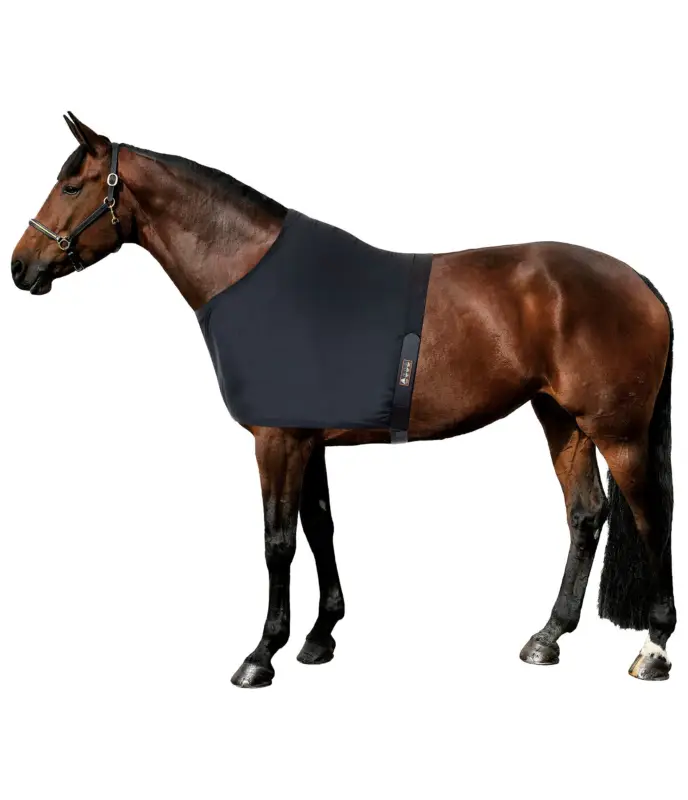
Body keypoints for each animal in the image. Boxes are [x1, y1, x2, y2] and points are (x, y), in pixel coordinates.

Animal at [11, 113, 675, 687]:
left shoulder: (277, 441)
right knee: (586, 516)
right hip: (562, 420)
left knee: (653, 515)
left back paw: (654, 647)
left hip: (617, 433)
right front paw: (319, 636)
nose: (21, 266)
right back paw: (547, 637)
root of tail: (640, 284)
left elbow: (278, 541)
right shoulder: (308, 440)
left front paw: (262, 654)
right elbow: (320, 528)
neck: (252, 274)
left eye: (72, 185)